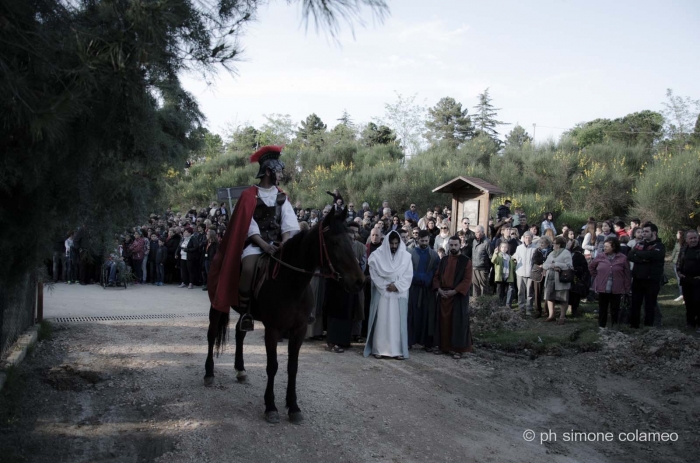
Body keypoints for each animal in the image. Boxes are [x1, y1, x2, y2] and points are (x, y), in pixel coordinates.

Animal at [204, 207, 364, 424]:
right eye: (334, 242)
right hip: (217, 304)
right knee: (212, 334)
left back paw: (241, 370)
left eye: (351, 239)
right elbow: (272, 366)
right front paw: (271, 406)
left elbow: (292, 366)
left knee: (239, 333)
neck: (291, 284)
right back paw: (209, 373)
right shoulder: (273, 329)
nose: (359, 281)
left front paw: (293, 406)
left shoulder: (299, 329)